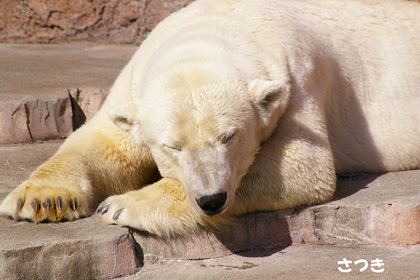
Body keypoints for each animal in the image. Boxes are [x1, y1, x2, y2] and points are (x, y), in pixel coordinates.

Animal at [0, 0, 420, 237]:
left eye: (229, 137)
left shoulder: (296, 82)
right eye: (172, 146)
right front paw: (41, 200)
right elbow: (105, 142)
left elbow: (303, 164)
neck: (216, 26)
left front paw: (121, 205)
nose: (211, 200)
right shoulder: (135, 82)